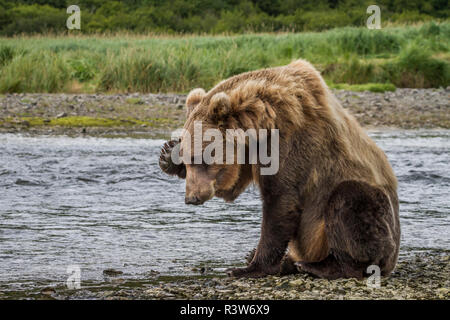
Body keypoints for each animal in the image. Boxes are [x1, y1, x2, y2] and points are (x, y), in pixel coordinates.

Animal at [159, 58, 400, 278]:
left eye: (199, 158)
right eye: (188, 160)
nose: (192, 198)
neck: (261, 124)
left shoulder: (292, 144)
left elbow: (280, 202)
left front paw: (248, 268)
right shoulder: (248, 156)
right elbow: (233, 185)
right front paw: (168, 154)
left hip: (366, 215)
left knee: (350, 202)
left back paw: (320, 266)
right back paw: (285, 262)